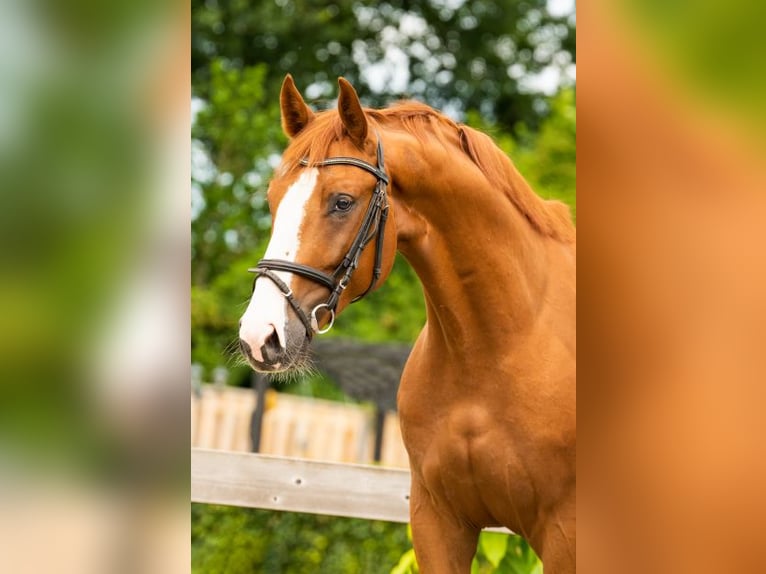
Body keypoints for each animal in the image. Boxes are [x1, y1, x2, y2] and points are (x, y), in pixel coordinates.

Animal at [240, 75, 576, 572]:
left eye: (342, 202)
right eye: (272, 200)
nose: (260, 336)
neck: (496, 346)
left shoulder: (562, 532)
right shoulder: (437, 520)